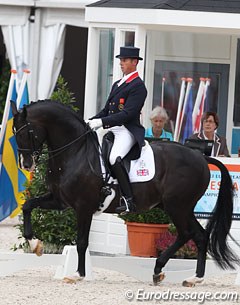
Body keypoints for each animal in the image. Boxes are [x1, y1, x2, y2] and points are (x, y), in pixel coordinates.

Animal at [10, 100, 236, 284]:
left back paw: (161, 269)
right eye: (14, 133)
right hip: (181, 207)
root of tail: (201, 157)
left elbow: (82, 242)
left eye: (25, 133)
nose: (26, 164)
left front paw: (78, 274)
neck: (75, 151)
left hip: (177, 206)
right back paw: (192, 278)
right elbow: (28, 206)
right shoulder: (59, 200)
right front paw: (35, 244)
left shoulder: (84, 207)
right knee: (199, 235)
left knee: (187, 233)